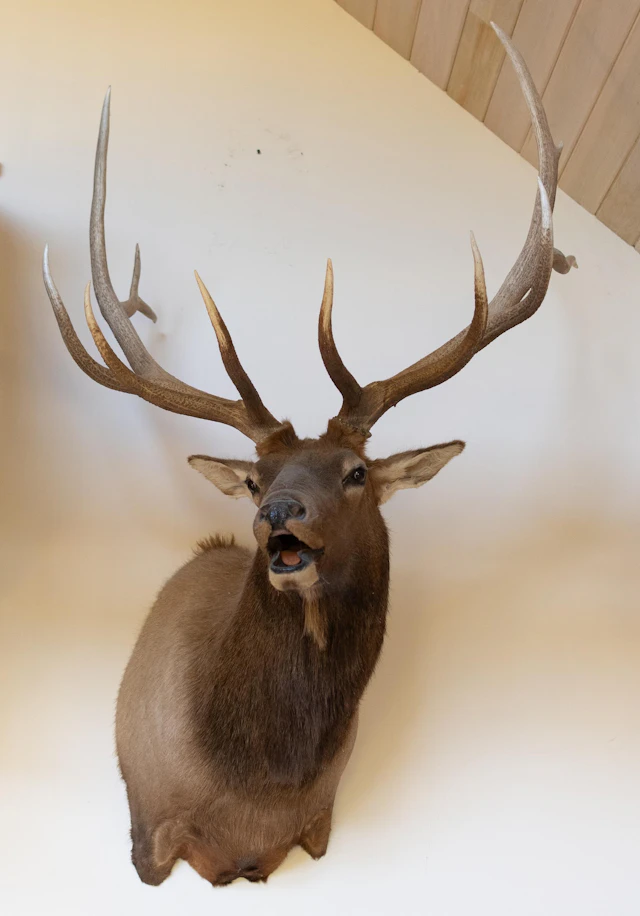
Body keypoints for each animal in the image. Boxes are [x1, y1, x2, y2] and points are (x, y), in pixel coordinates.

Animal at [43, 25, 575, 888]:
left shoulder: (314, 832)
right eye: (256, 477)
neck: (257, 784)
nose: (277, 513)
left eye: (357, 473)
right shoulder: (149, 830)